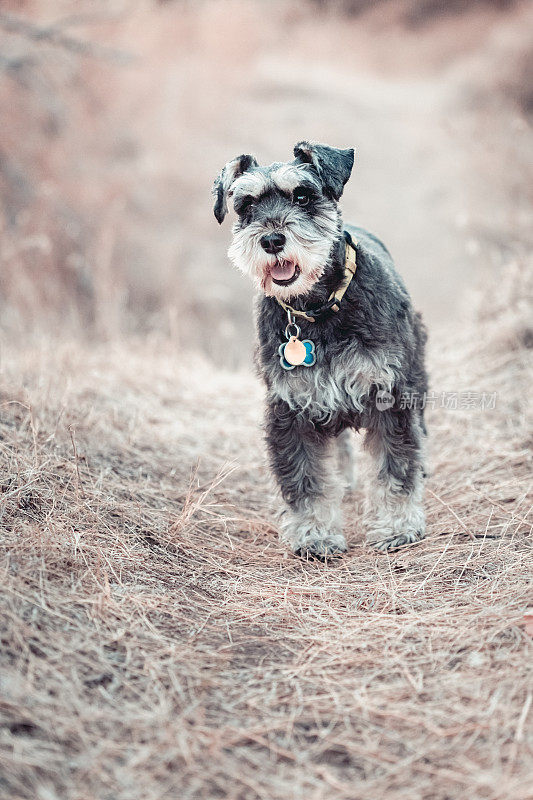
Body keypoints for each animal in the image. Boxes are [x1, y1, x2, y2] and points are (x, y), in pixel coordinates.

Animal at [214, 142, 426, 556]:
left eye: (302, 196)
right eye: (246, 205)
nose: (272, 240)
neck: (318, 308)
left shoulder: (391, 396)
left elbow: (395, 465)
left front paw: (397, 527)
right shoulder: (290, 409)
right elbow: (305, 479)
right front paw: (314, 534)